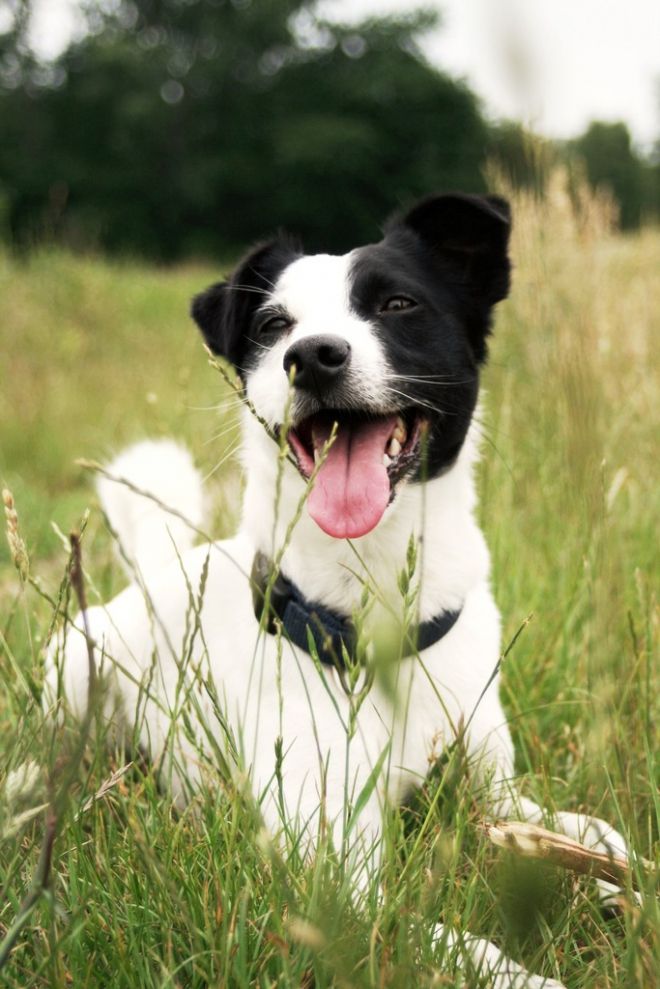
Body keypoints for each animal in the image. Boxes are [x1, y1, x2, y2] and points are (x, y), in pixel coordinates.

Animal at [45, 195, 636, 988]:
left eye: (396, 304)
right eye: (274, 325)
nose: (313, 356)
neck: (376, 616)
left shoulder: (492, 791)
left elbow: (582, 831)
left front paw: (609, 873)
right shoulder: (337, 876)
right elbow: (447, 939)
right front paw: (528, 975)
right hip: (70, 673)